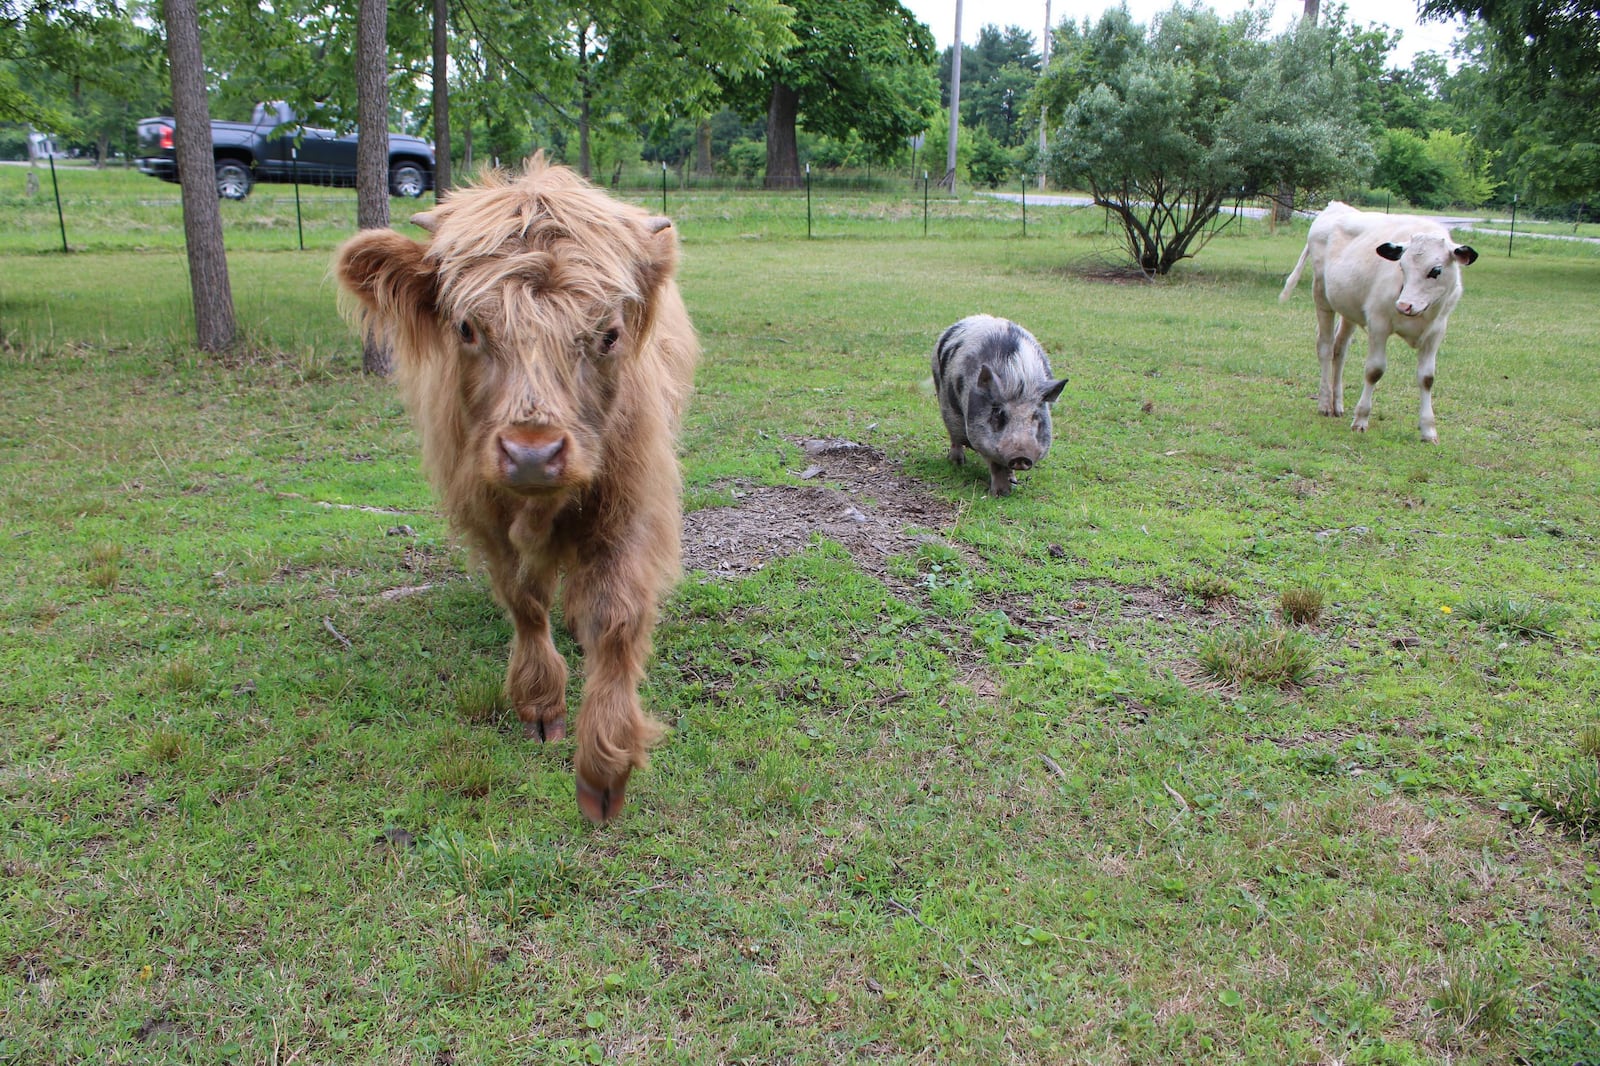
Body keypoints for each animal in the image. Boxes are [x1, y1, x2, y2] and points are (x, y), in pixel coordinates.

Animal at [337, 156, 694, 819]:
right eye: (467, 327)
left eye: (608, 334)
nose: (533, 454)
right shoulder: (482, 509)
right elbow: (524, 599)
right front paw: (540, 705)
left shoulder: (633, 499)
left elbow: (617, 615)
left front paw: (604, 764)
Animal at [934, 313, 1068, 496]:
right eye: (999, 415)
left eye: (1036, 416)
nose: (1020, 456)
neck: (1019, 380)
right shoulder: (979, 435)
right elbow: (995, 464)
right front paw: (1000, 494)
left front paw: (1013, 482)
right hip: (944, 400)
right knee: (954, 435)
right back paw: (957, 463)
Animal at [1280, 199, 1478, 438]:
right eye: (1402, 266)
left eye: (1436, 270)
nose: (1404, 305)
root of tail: (1335, 206)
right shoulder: (1378, 323)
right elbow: (1374, 371)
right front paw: (1361, 419)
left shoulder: (1436, 331)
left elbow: (1427, 378)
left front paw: (1428, 429)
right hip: (1321, 296)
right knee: (1325, 347)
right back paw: (1325, 403)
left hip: (1348, 309)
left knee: (1339, 349)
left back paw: (1337, 404)